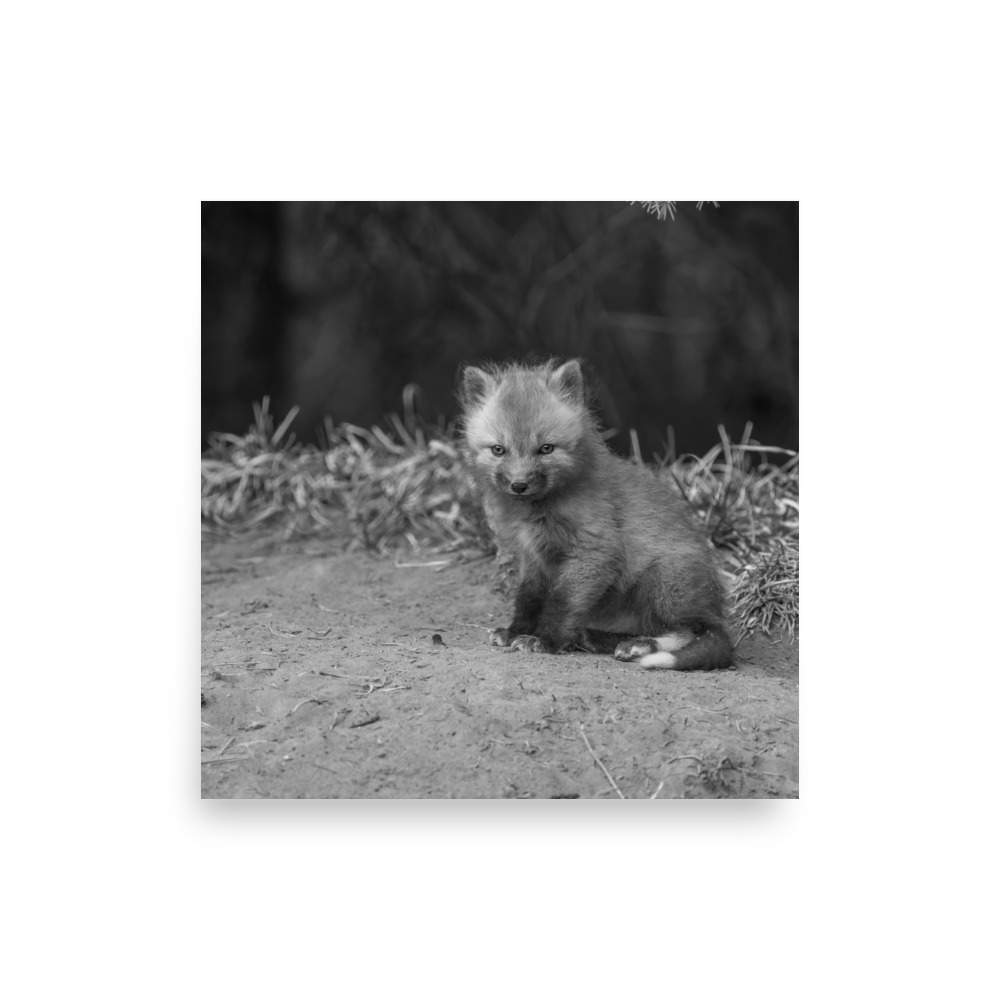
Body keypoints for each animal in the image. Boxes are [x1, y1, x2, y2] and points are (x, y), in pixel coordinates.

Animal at [458, 358, 732, 670]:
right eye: (498, 450)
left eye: (546, 448)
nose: (519, 485)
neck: (538, 512)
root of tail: (715, 608)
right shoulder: (534, 557)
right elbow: (528, 599)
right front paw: (516, 631)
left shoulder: (593, 552)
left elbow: (561, 602)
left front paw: (545, 640)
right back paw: (595, 638)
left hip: (661, 581)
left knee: (691, 631)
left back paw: (639, 646)